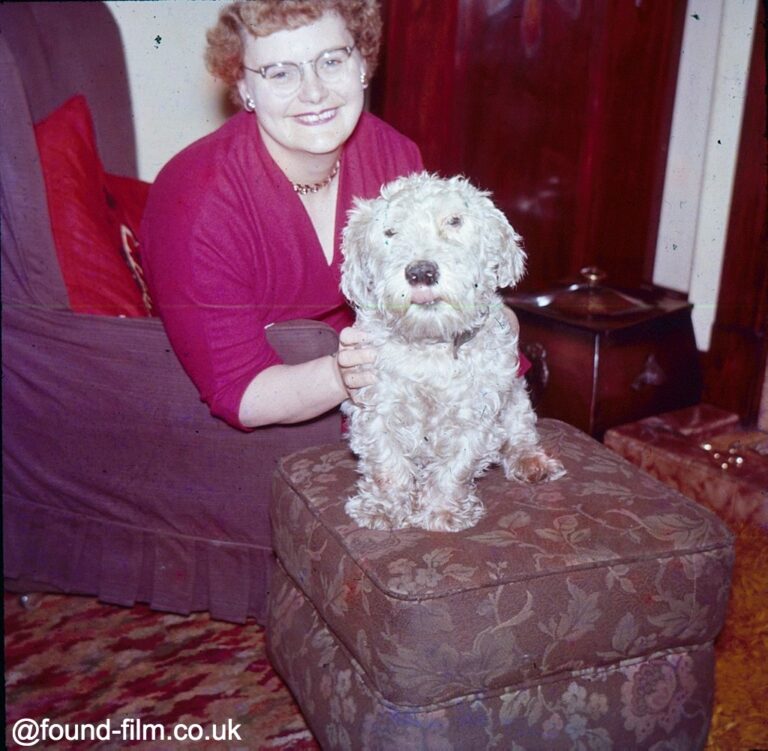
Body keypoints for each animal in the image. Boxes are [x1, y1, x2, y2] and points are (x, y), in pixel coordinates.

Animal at [340, 173, 564, 532]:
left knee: (520, 434)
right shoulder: (376, 407)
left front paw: (443, 510)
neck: (431, 343)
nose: (421, 271)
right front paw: (383, 508)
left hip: (516, 399)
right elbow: (387, 464)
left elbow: (455, 468)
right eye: (389, 232)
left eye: (455, 221)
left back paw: (531, 462)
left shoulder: (477, 415)